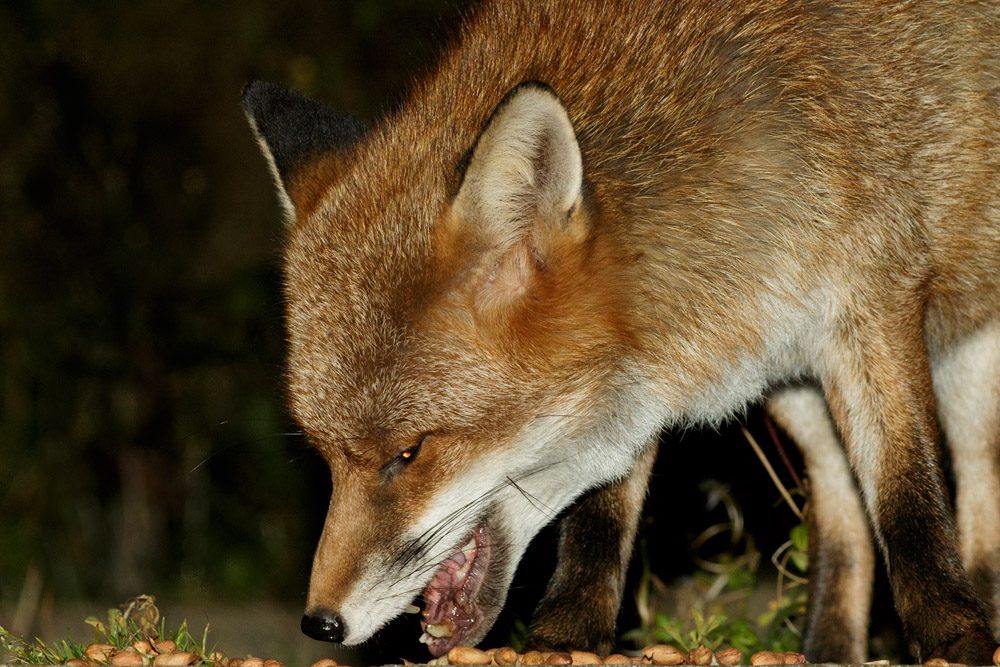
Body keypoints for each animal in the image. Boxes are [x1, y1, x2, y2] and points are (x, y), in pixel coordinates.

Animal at [242, 0, 1000, 663]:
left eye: (409, 452)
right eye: (327, 457)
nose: (321, 623)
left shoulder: (871, 299)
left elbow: (907, 501)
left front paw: (952, 640)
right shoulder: (669, 362)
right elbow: (601, 517)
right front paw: (567, 638)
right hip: (793, 386)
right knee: (843, 518)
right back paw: (829, 649)